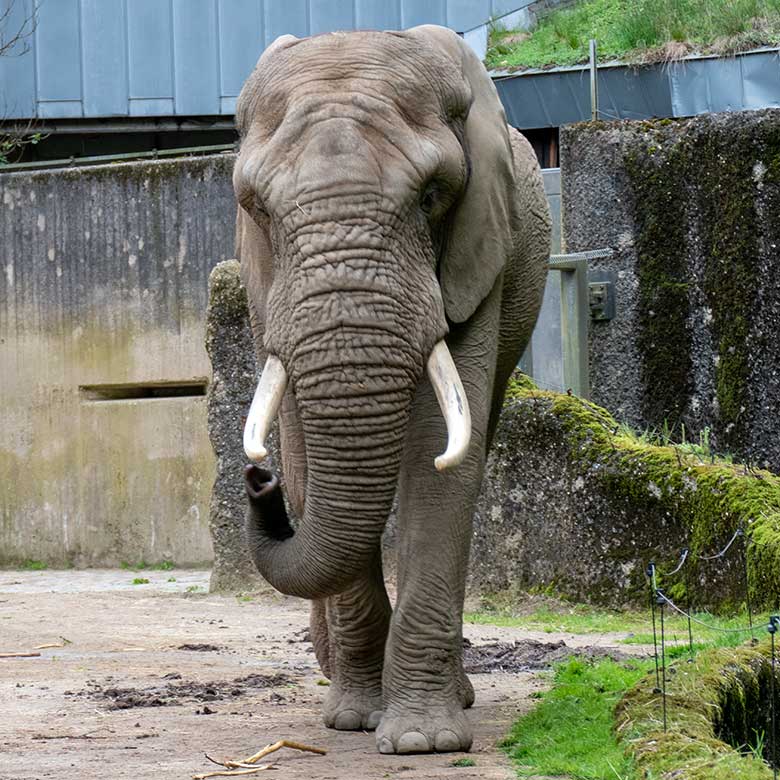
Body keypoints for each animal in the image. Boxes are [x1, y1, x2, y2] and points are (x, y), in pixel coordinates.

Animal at [235, 25, 552, 756]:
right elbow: (304, 452)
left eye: (431, 196)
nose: (256, 481)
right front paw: (354, 719)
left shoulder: (477, 256)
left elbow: (441, 453)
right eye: (256, 207)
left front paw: (421, 741)